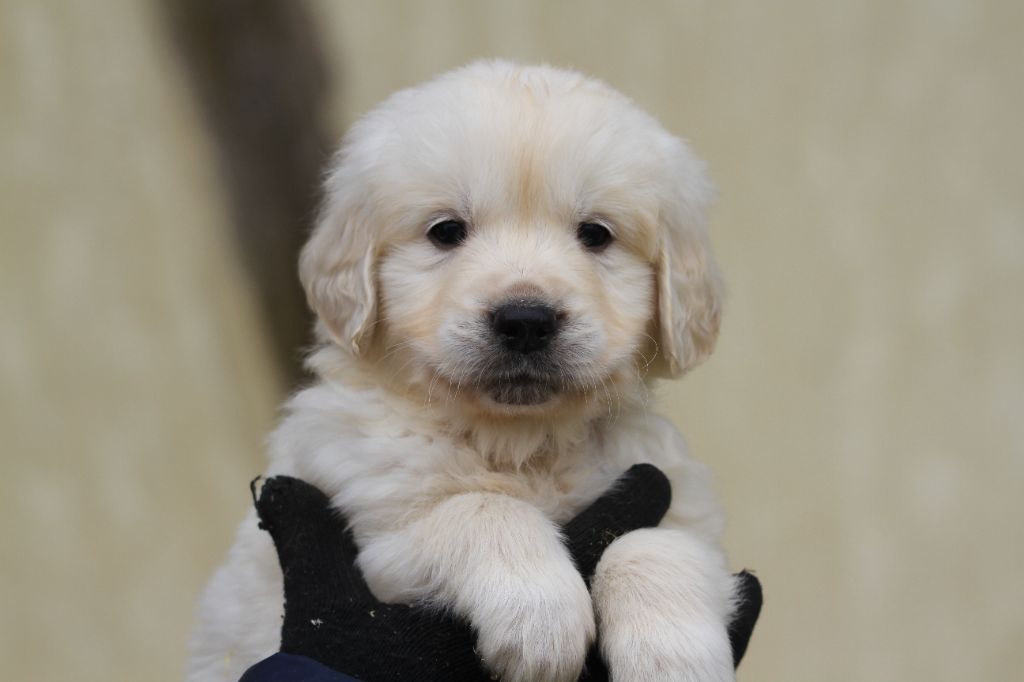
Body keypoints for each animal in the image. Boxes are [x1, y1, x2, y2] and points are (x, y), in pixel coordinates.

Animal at [188, 59, 737, 679]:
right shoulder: (376, 534)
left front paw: (672, 654)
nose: (525, 320)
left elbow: (650, 540)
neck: (520, 444)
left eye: (596, 234)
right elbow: (480, 508)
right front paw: (540, 619)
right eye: (446, 231)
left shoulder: (679, 500)